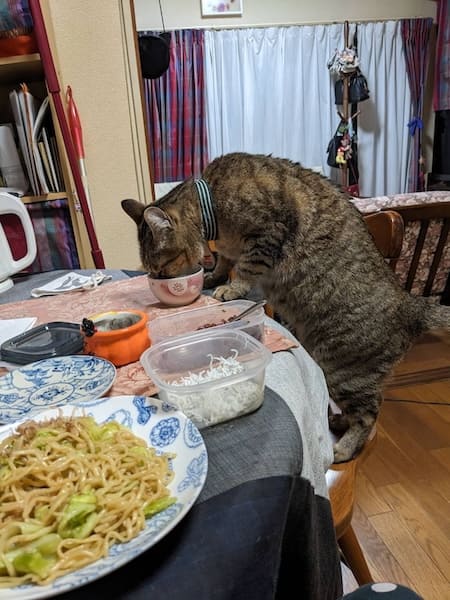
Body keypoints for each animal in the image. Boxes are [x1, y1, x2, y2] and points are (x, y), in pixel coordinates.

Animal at [121, 152, 448, 462]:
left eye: (160, 269)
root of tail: (411, 304)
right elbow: (224, 261)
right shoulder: (229, 249)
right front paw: (214, 277)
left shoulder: (267, 233)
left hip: (345, 371)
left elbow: (245, 267)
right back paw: (338, 422)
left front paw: (231, 288)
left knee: (368, 415)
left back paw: (344, 447)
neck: (212, 206)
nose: (158, 279)